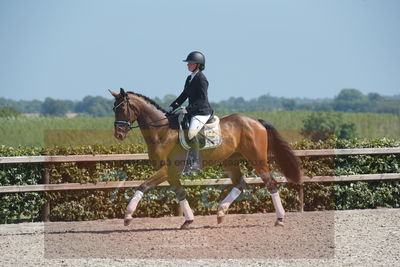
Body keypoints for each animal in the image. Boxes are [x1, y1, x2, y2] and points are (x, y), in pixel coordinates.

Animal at [109, 88, 304, 230]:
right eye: (113, 109)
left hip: (257, 160)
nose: (118, 134)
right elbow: (179, 192)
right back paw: (221, 212)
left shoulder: (168, 169)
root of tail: (255, 121)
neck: (162, 131)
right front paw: (188, 221)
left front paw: (127, 216)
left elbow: (143, 185)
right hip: (231, 161)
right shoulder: (171, 172)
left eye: (122, 108)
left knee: (270, 183)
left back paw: (279, 218)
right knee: (240, 183)